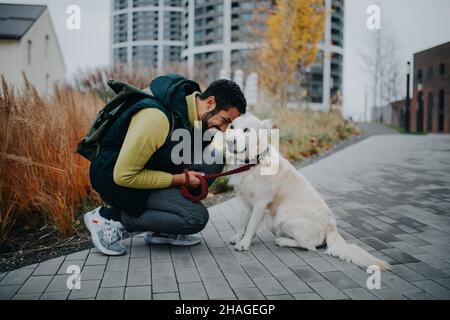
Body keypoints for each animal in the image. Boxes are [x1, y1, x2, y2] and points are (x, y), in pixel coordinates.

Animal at [224, 114, 390, 272]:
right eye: (231, 126)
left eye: (246, 130)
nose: (229, 141)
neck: (252, 163)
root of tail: (331, 225)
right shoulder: (245, 201)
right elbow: (243, 222)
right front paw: (239, 237)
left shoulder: (260, 202)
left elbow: (251, 224)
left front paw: (245, 242)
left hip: (284, 215)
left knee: (309, 245)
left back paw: (282, 240)